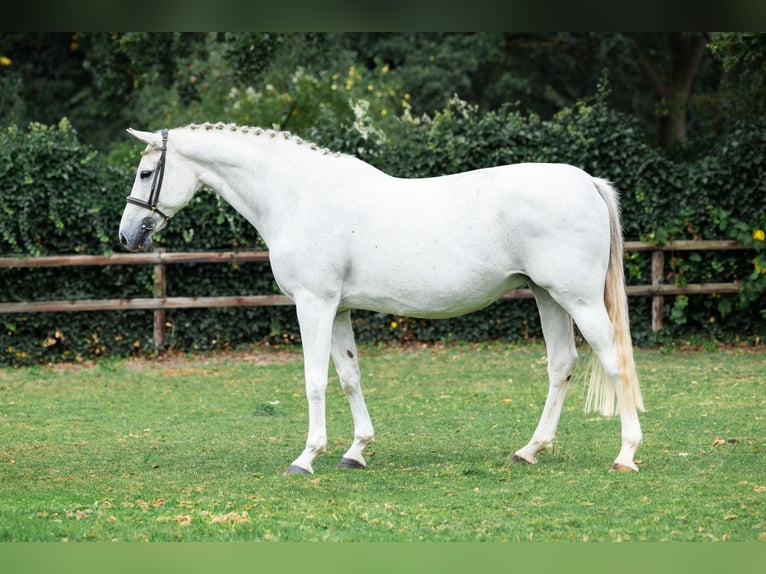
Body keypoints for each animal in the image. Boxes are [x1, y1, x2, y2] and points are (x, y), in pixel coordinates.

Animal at [118, 122, 644, 475]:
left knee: (614, 361)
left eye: (145, 172)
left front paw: (306, 457)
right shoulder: (339, 309)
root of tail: (586, 181)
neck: (299, 195)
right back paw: (530, 450)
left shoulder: (313, 304)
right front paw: (356, 451)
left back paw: (625, 455)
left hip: (578, 300)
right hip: (547, 296)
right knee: (562, 364)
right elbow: (349, 377)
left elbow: (315, 380)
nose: (127, 235)